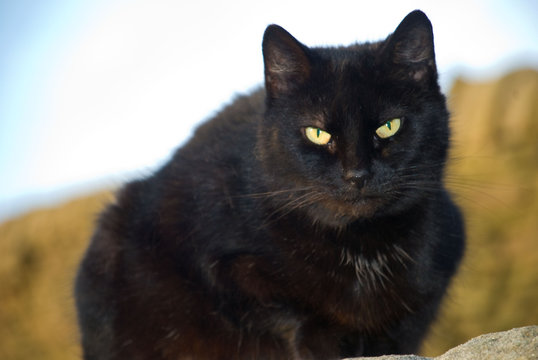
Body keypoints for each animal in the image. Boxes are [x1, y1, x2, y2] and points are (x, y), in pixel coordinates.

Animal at [73, 9, 462, 358]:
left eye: (389, 127)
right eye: (317, 133)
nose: (357, 174)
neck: (361, 249)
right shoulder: (220, 263)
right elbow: (288, 310)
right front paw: (324, 341)